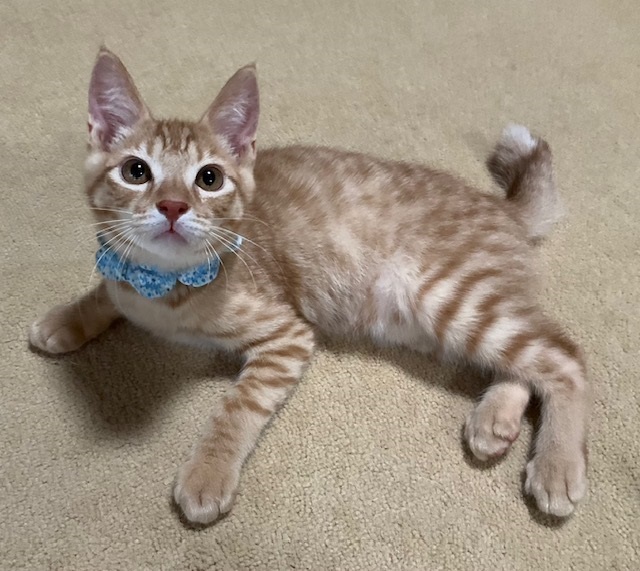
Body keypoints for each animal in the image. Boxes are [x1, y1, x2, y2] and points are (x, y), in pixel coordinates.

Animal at [30, 47, 590, 525]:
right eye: (135, 171)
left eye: (209, 178)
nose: (172, 206)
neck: (162, 287)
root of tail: (503, 207)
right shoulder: (123, 274)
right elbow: (108, 290)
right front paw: (65, 319)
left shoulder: (288, 334)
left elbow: (237, 408)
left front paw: (208, 472)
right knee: (525, 357)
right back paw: (495, 418)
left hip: (446, 296)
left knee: (563, 357)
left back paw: (557, 466)